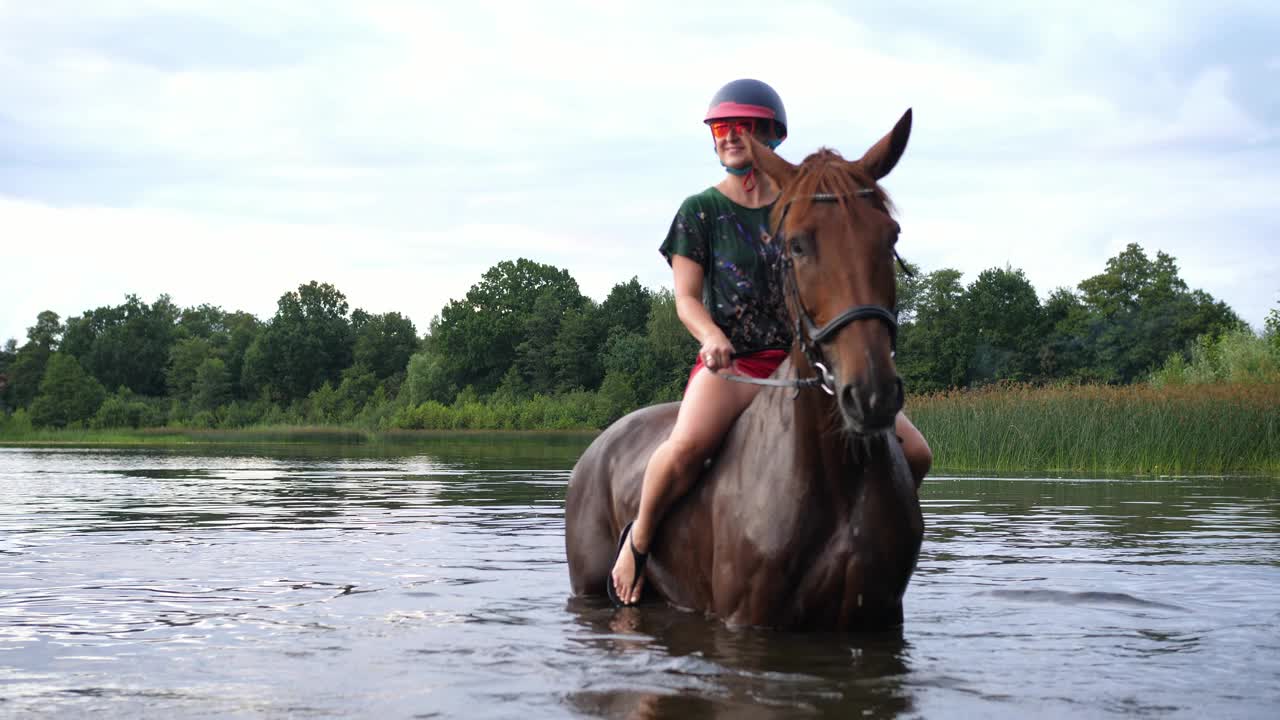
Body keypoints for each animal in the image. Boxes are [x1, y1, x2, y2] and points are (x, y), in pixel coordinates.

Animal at [565, 107, 926, 627]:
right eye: (795, 246)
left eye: (889, 235)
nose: (872, 394)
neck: (836, 477)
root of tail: (599, 445)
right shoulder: (747, 619)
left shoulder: (880, 617)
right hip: (589, 586)